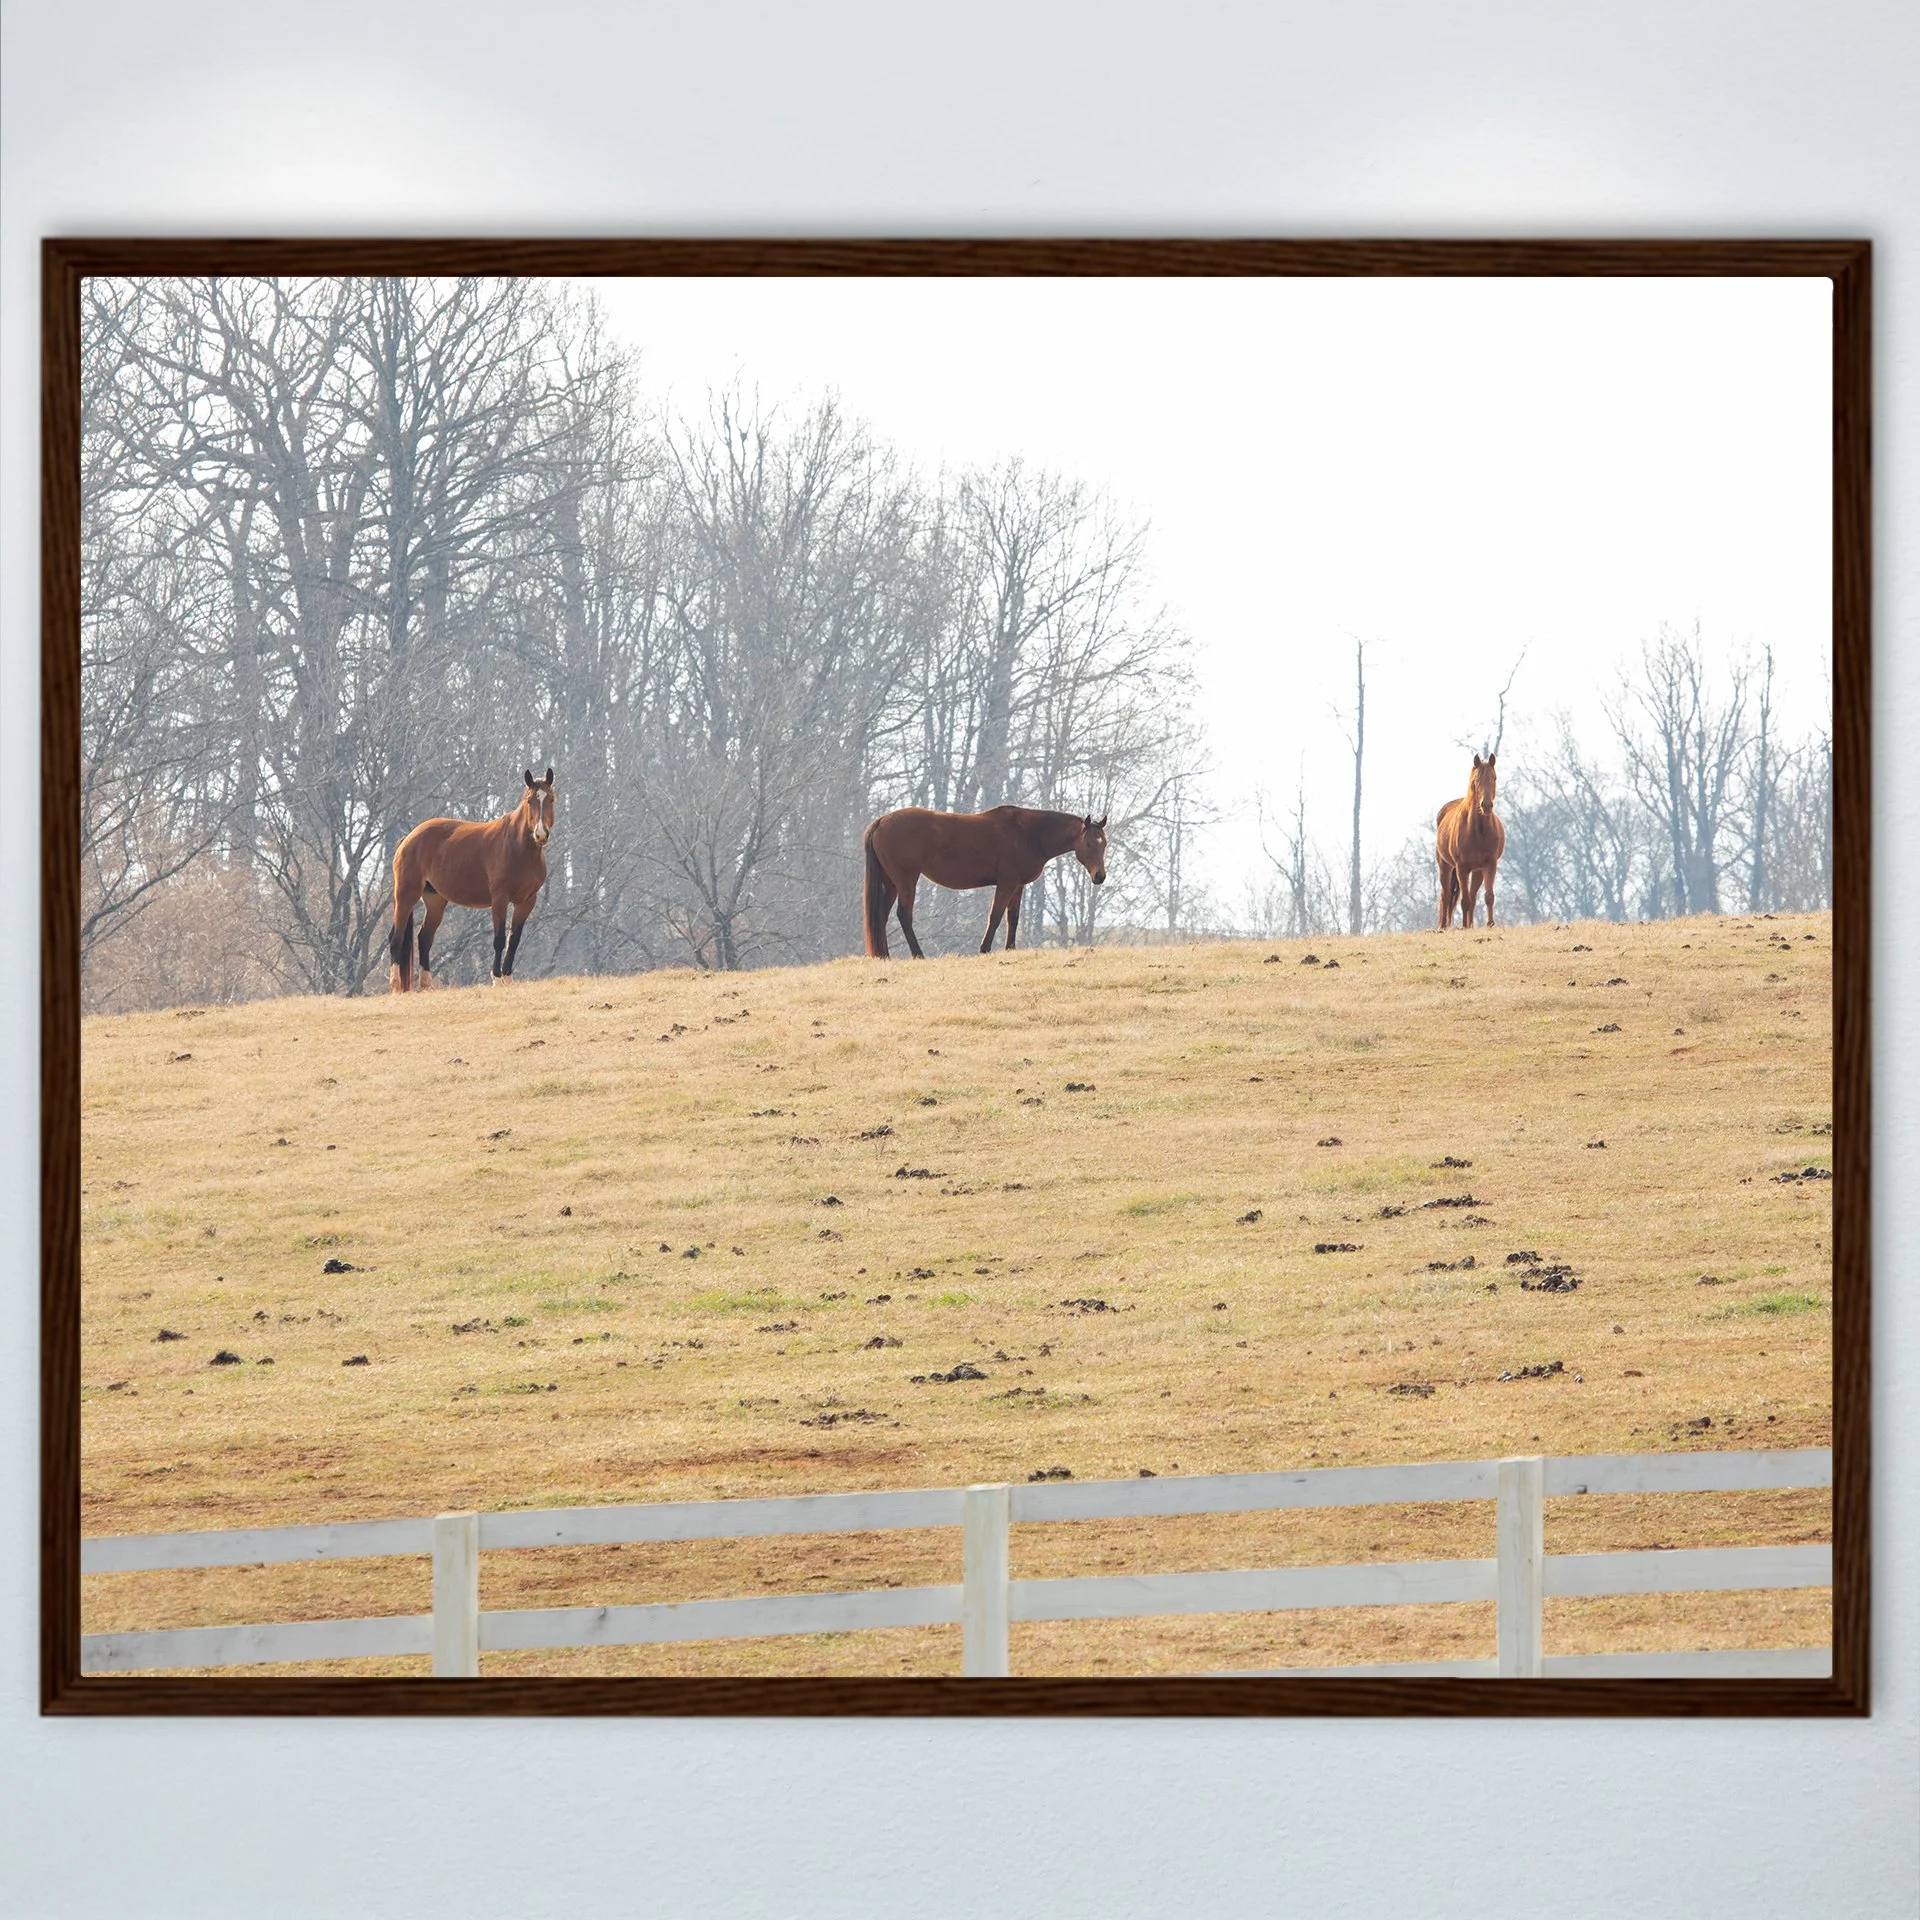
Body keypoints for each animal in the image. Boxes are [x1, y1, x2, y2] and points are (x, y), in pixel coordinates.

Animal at [388, 769, 555, 992]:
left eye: (551, 799)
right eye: (530, 801)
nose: (541, 834)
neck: (518, 847)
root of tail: (408, 838)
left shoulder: (527, 901)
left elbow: (514, 939)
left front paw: (508, 978)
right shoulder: (500, 899)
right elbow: (499, 939)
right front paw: (497, 978)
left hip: (435, 901)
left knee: (424, 938)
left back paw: (427, 985)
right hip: (406, 895)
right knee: (396, 938)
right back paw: (396, 986)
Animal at [862, 806, 1108, 958]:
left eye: (1103, 843)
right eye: (1088, 844)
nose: (1100, 876)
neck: (1029, 834)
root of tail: (881, 821)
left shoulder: (1018, 886)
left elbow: (1013, 918)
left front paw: (1010, 949)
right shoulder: (1007, 883)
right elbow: (996, 916)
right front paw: (985, 948)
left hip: (891, 883)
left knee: (881, 916)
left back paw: (884, 956)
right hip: (906, 881)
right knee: (904, 915)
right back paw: (918, 954)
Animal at [1435, 752, 1505, 929]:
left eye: (1494, 778)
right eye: (1476, 780)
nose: (1486, 805)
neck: (1478, 831)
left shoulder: (1489, 864)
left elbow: (1488, 896)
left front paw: (1490, 924)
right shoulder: (1462, 867)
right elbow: (1464, 900)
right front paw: (1464, 927)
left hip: (1477, 871)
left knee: (1472, 897)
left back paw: (1469, 924)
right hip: (1445, 866)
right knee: (1446, 895)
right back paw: (1443, 926)